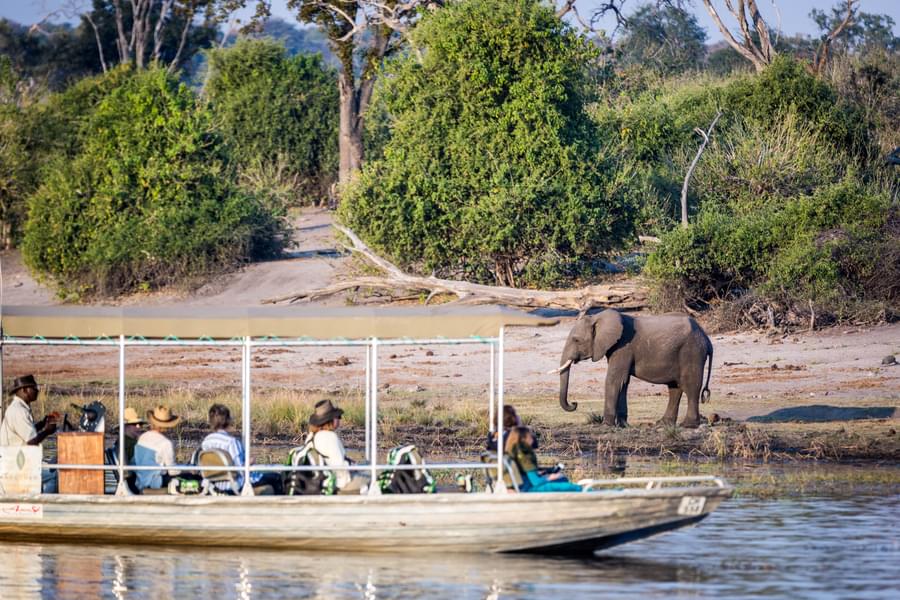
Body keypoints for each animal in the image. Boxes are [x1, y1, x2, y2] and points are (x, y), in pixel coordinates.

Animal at [552, 310, 712, 426]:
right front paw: (622, 425)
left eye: (576, 340)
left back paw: (688, 425)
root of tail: (707, 338)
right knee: (675, 387)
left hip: (692, 351)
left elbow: (614, 380)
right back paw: (663, 423)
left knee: (690, 385)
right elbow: (623, 382)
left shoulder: (623, 347)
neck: (597, 317)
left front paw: (607, 425)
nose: (574, 403)